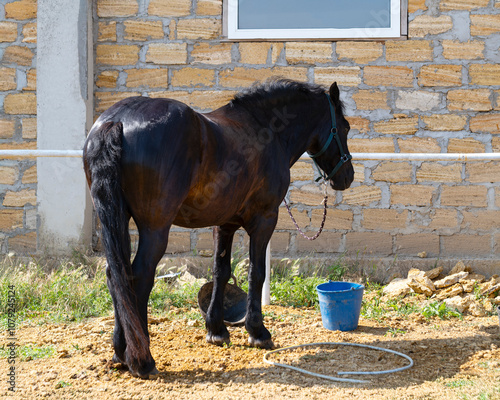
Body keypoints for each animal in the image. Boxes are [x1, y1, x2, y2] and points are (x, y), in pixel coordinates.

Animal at [82, 78, 354, 378]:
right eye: (345, 127)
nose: (348, 176)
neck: (265, 130)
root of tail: (118, 120)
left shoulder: (224, 223)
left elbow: (221, 271)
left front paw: (217, 330)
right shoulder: (265, 219)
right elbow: (256, 273)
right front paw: (258, 332)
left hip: (118, 220)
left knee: (116, 275)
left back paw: (120, 353)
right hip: (155, 229)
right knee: (138, 276)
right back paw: (142, 360)